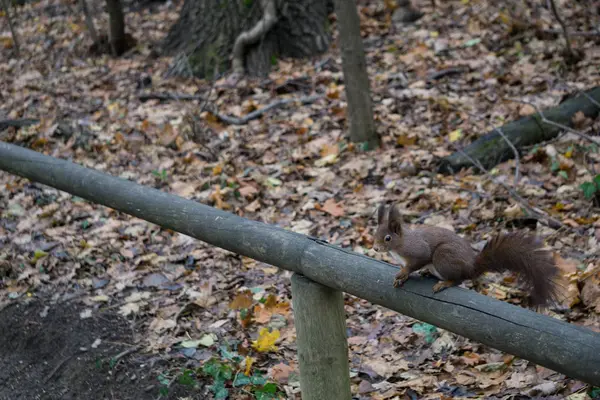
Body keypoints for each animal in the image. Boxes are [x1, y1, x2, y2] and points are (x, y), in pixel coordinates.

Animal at [372, 202, 560, 308]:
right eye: (375, 233)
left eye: (387, 238)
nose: (375, 248)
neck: (399, 246)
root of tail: (471, 268)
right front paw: (401, 277)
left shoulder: (419, 251)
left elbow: (415, 263)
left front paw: (402, 273)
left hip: (443, 256)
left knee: (458, 279)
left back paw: (444, 283)